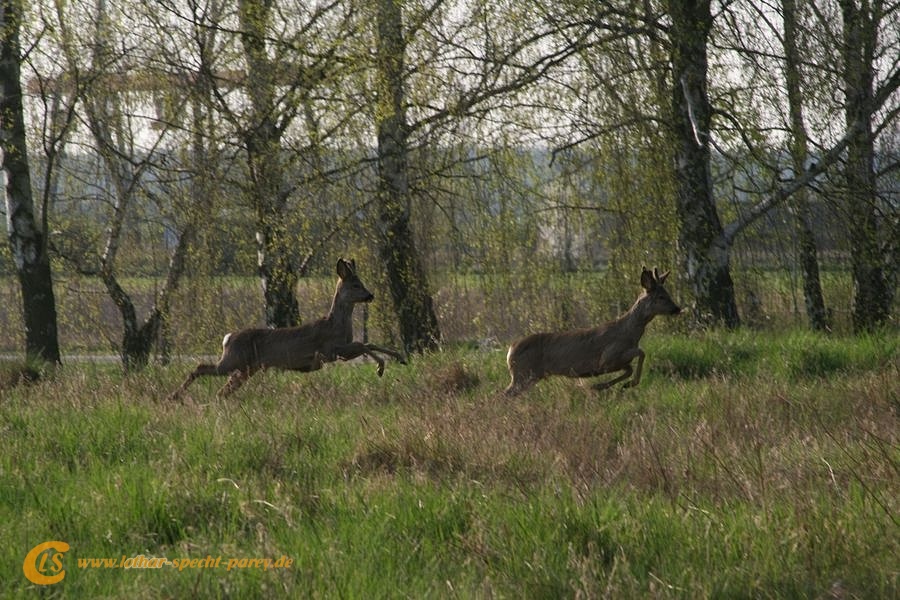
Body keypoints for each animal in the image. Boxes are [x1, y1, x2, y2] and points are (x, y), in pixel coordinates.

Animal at [168, 256, 404, 400]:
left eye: (362, 283)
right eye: (356, 285)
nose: (370, 295)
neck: (337, 325)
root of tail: (227, 337)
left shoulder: (338, 351)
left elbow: (368, 342)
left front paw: (399, 357)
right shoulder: (330, 350)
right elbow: (364, 344)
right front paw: (380, 368)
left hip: (246, 368)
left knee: (222, 390)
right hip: (234, 360)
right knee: (200, 367)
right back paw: (174, 396)